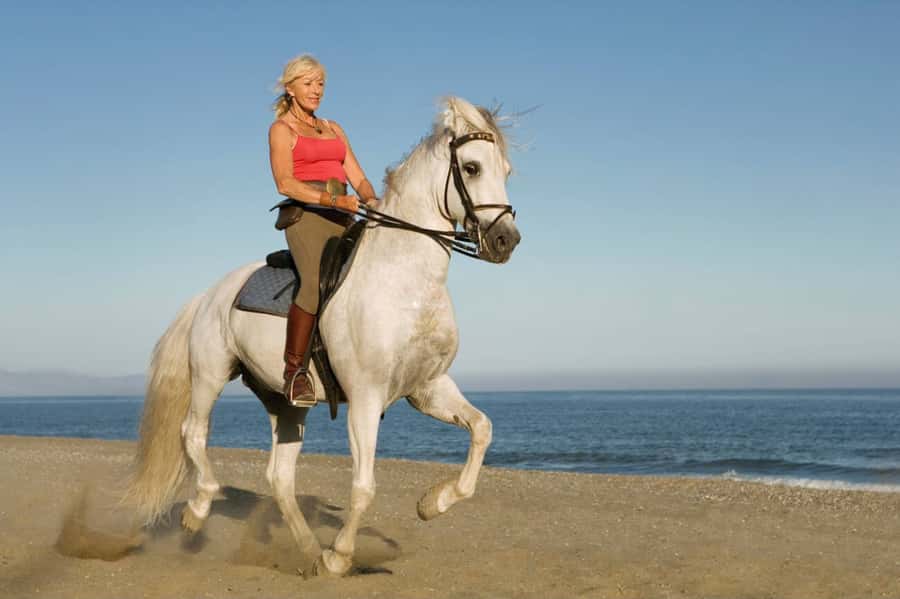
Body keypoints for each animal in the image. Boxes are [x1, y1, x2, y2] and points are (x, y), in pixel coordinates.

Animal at [123, 96, 521, 577]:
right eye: (472, 167)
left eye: (506, 169)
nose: (506, 241)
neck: (403, 281)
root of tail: (209, 293)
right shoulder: (366, 398)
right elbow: (364, 486)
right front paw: (340, 556)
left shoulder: (428, 387)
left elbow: (482, 429)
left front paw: (432, 503)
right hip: (210, 374)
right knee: (193, 434)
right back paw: (199, 511)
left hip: (286, 403)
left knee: (279, 477)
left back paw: (309, 548)